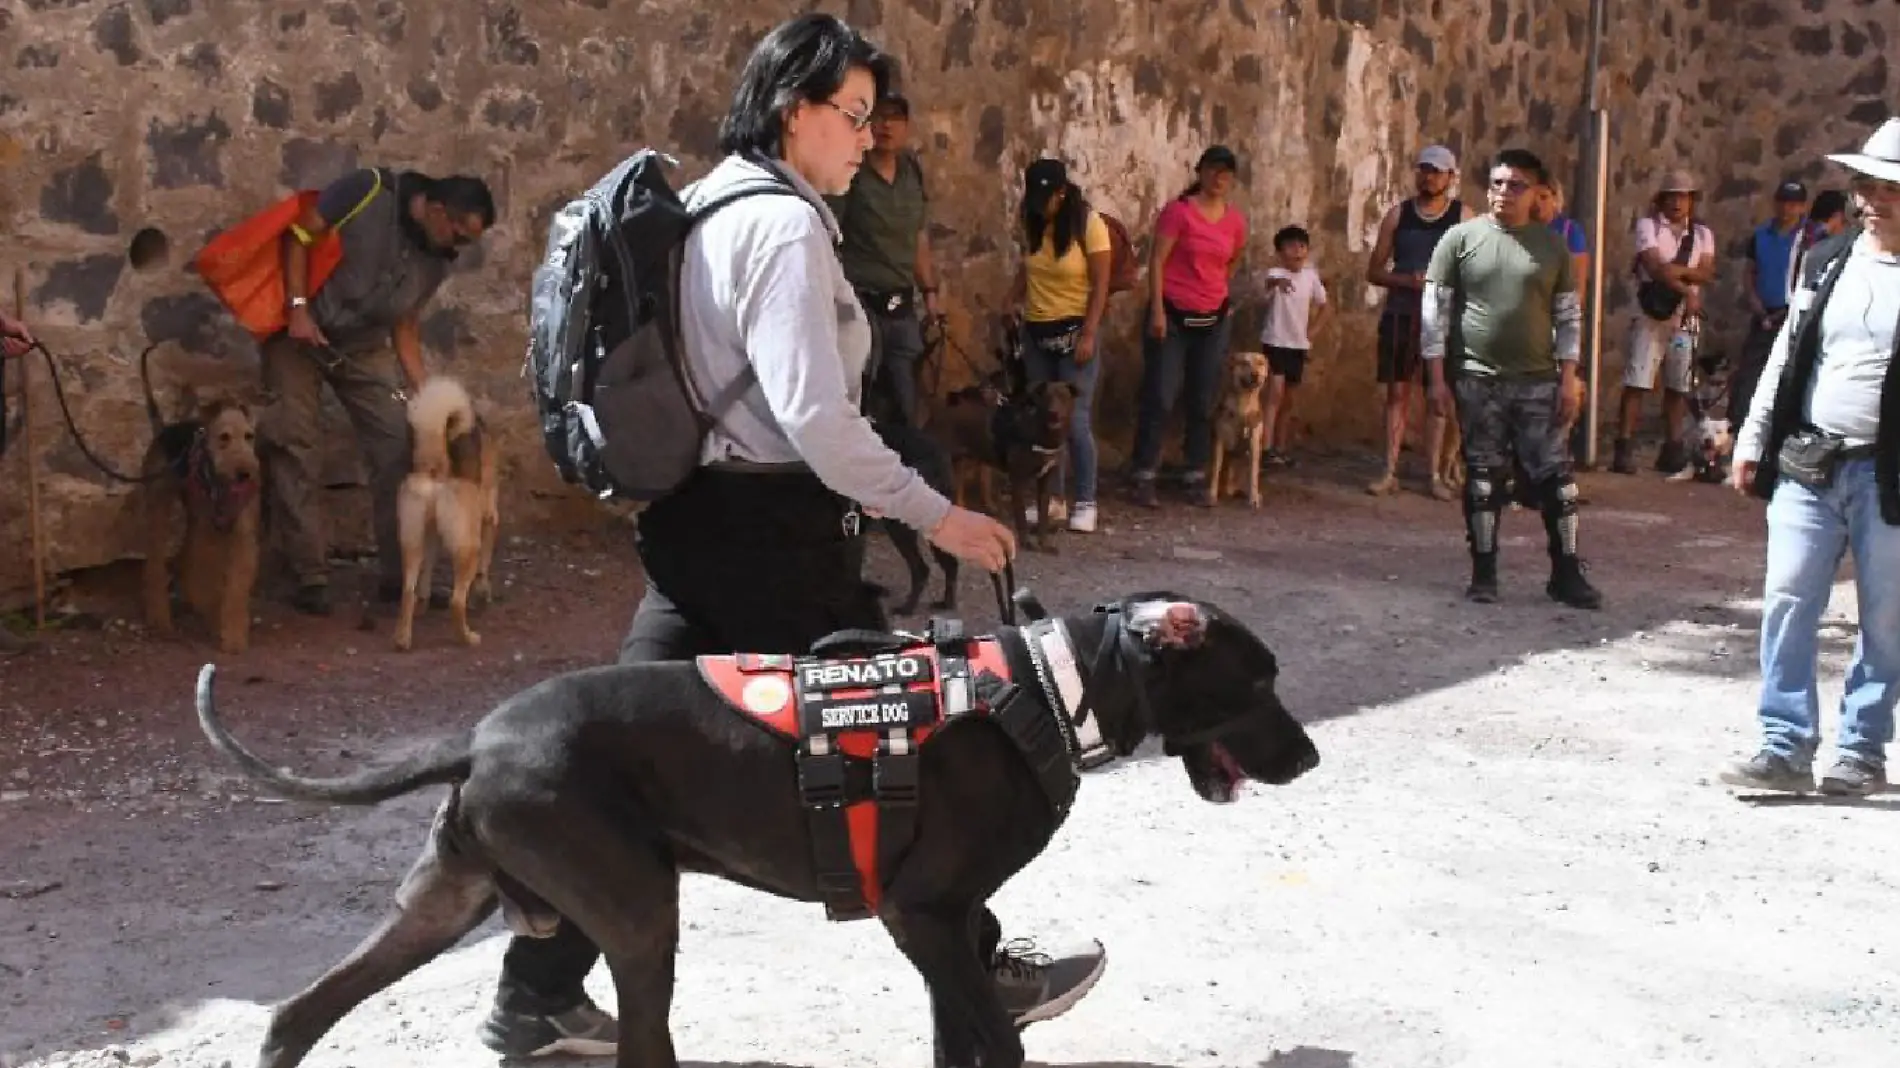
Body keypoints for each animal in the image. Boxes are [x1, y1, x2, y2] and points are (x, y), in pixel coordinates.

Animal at [196, 589, 1322, 1064]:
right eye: (1257, 682)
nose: (1311, 760)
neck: (1048, 687)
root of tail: (477, 740)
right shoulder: (923, 912)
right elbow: (996, 1040)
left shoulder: (942, 923)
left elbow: (960, 1031)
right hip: (639, 917)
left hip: (445, 900)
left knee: (294, 1016)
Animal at [387, 378, 497, 653]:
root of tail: (437, 470)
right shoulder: (490, 519)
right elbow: (485, 567)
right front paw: (483, 594)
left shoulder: (432, 539)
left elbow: (425, 576)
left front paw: (425, 602)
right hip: (467, 548)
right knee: (456, 602)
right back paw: (467, 637)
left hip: (412, 541)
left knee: (408, 591)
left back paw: (403, 638)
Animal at [1208, 349, 1269, 505]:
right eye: (1244, 363)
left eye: (1260, 363)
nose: (1255, 374)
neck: (1243, 404)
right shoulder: (1219, 441)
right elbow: (1215, 470)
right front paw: (1211, 495)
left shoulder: (1254, 442)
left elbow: (1253, 473)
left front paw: (1253, 498)